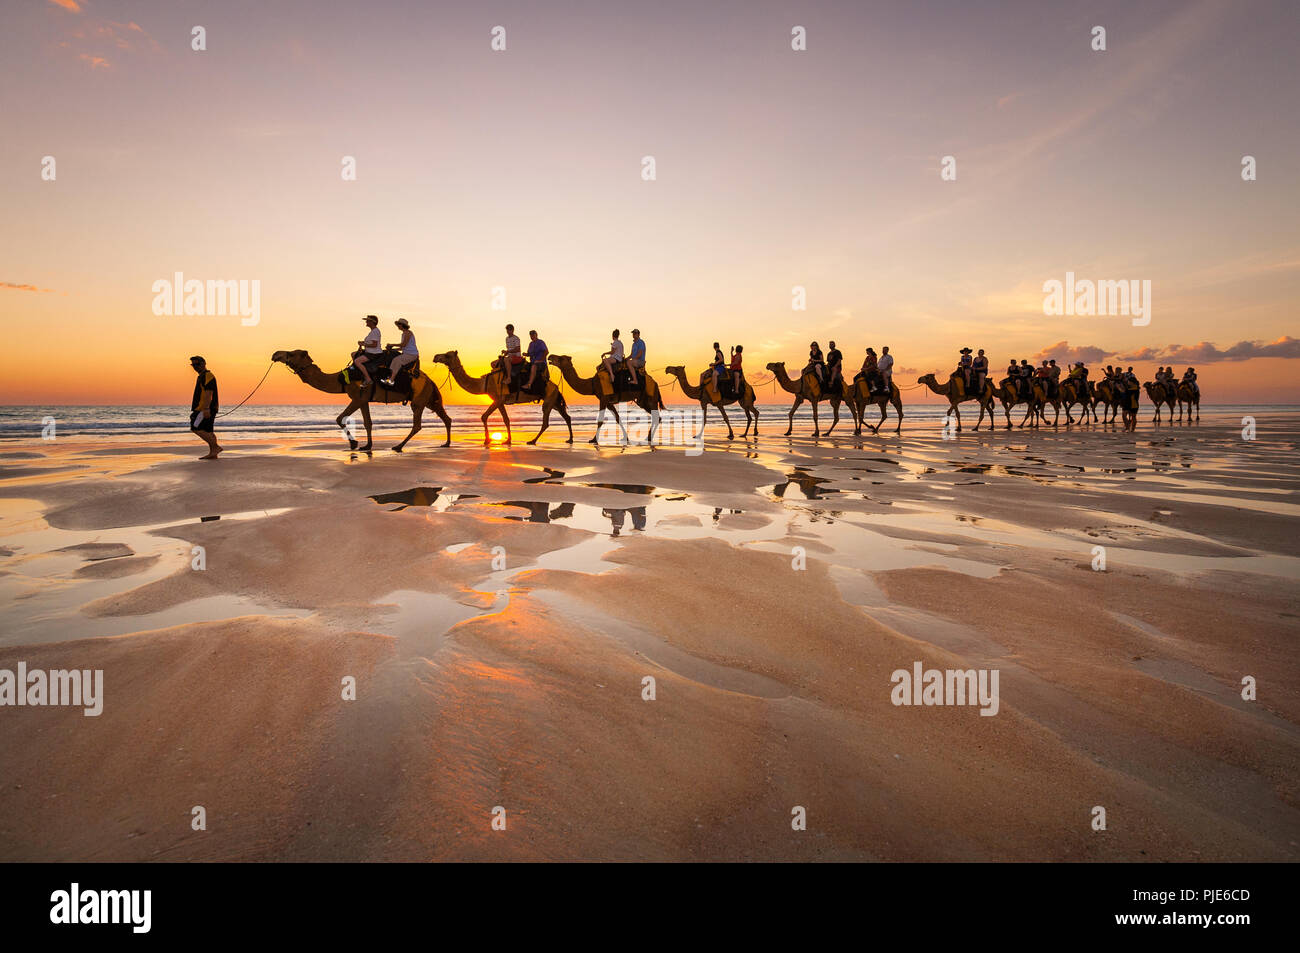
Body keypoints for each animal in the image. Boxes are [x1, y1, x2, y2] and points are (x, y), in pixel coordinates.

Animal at [271, 348, 449, 452]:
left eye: (291, 354)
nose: (275, 354)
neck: (342, 379)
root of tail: (430, 381)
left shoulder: (357, 397)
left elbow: (340, 418)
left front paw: (353, 444)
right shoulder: (364, 400)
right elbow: (367, 422)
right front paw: (366, 445)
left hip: (419, 400)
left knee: (417, 424)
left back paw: (398, 446)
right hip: (429, 399)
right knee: (445, 417)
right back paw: (446, 443)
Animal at [434, 351, 572, 444]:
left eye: (447, 355)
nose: (435, 357)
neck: (483, 383)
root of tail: (556, 387)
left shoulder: (497, 398)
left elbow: (484, 416)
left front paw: (487, 440)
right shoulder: (500, 401)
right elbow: (506, 419)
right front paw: (507, 440)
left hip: (548, 399)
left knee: (546, 422)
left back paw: (532, 441)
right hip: (554, 401)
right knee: (566, 417)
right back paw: (570, 439)